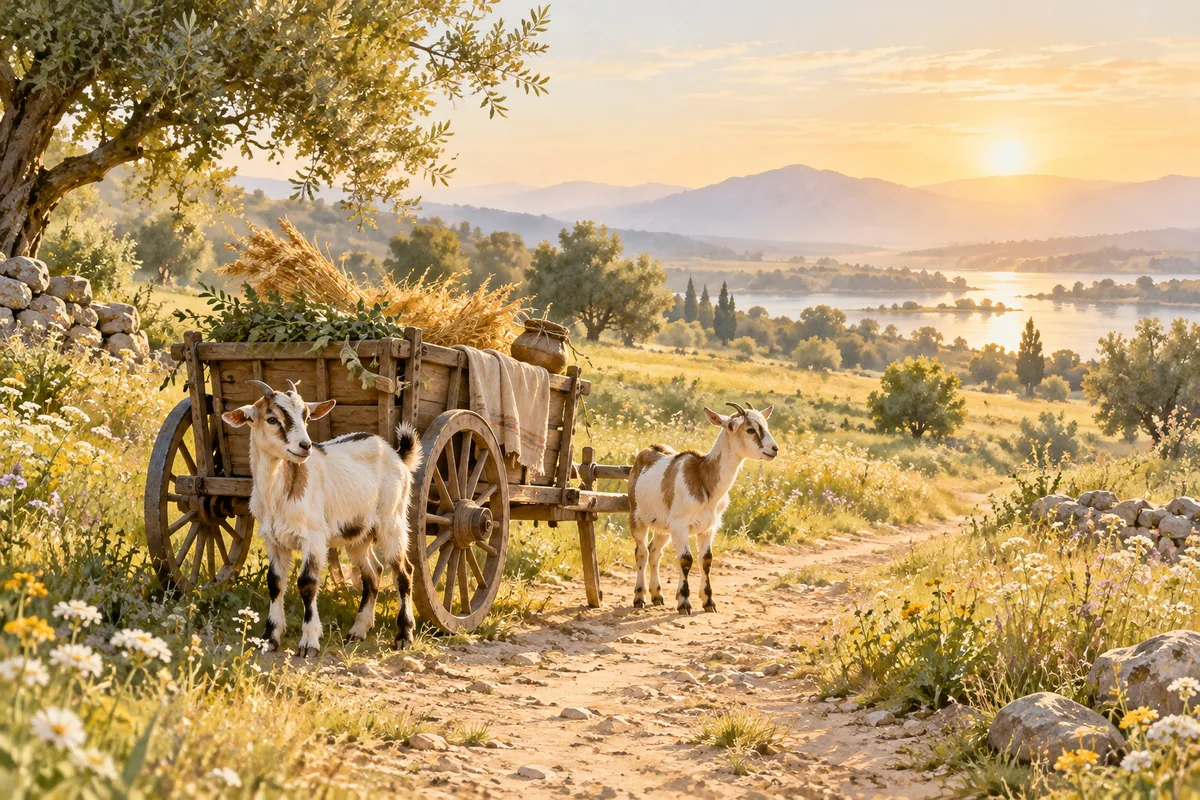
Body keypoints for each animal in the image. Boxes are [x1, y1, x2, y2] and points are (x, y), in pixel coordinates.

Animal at [222, 380, 422, 656]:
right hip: (358, 533)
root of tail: (397, 455)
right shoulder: (273, 540)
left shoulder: (313, 538)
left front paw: (309, 642)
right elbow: (275, 582)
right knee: (373, 572)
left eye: (306, 416)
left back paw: (404, 636)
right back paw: (358, 630)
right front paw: (270, 637)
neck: (279, 492)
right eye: (272, 419)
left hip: (392, 521)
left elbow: (307, 583)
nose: (305, 446)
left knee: (403, 572)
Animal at [627, 402, 777, 614]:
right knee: (642, 553)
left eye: (766, 425)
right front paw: (684, 603)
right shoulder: (680, 525)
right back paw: (639, 597)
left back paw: (657, 595)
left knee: (655, 552)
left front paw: (708, 601)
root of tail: (646, 450)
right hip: (637, 517)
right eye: (750, 429)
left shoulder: (708, 527)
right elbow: (685, 559)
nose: (774, 449)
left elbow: (705, 559)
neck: (703, 477)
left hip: (662, 527)